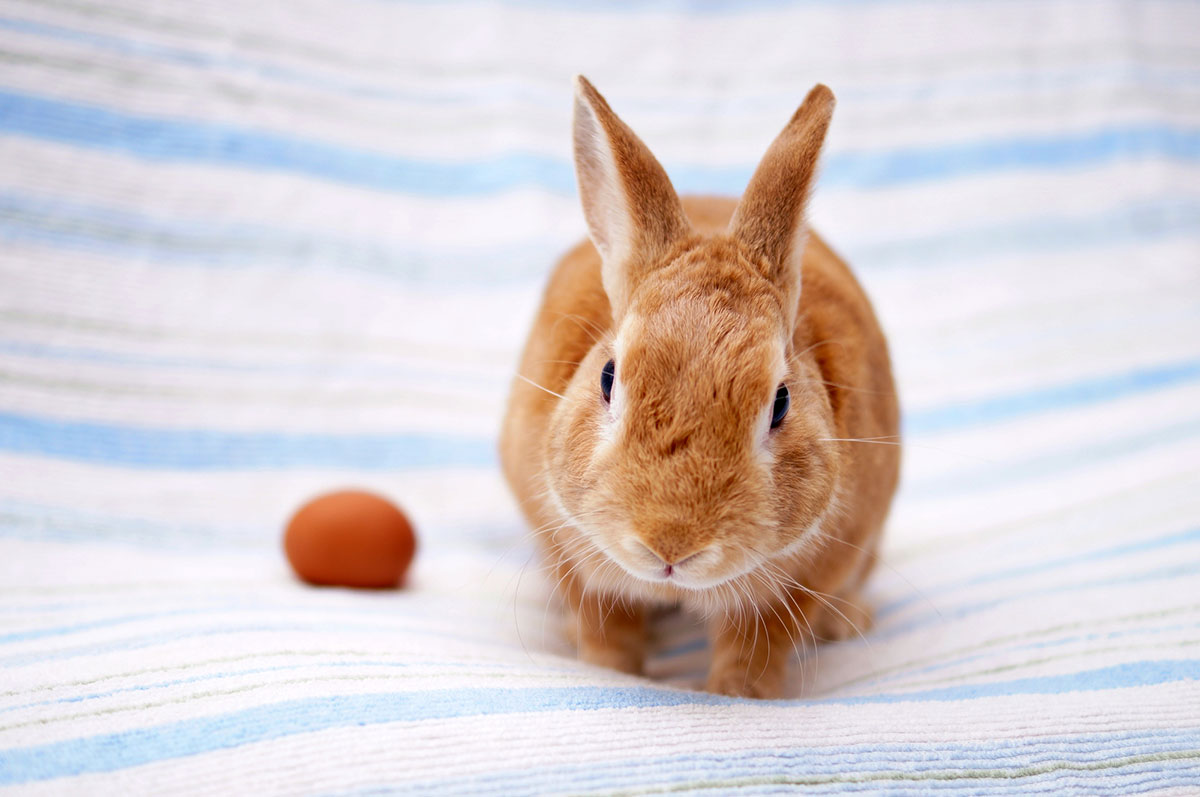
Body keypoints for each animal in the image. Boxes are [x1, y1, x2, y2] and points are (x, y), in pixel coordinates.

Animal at [499, 76, 902, 696]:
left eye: (780, 402)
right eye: (608, 378)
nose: (670, 544)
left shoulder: (801, 582)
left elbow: (758, 647)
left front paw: (739, 696)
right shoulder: (572, 555)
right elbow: (606, 629)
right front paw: (608, 671)